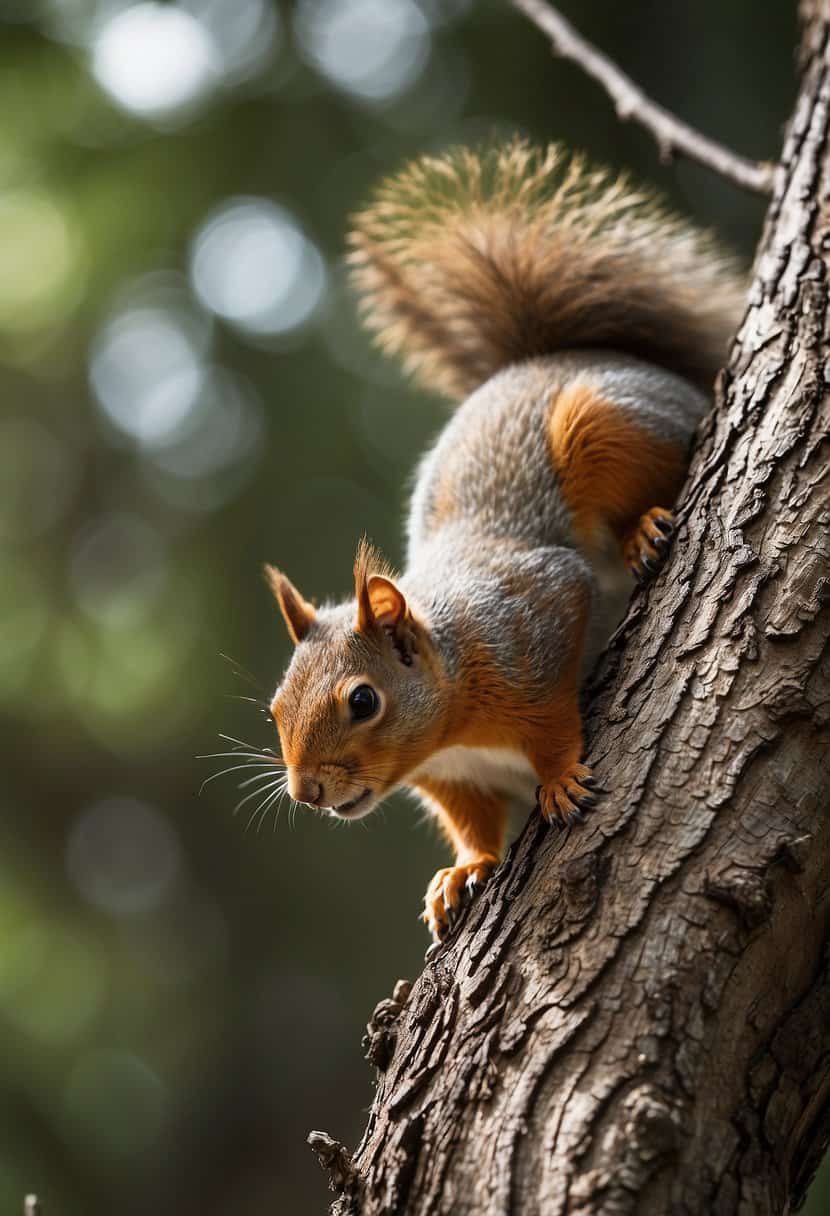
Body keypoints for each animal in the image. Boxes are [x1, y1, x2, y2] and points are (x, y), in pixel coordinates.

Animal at [262, 139, 743, 938]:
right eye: (274, 708)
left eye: (363, 701)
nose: (306, 792)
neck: (453, 716)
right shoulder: (453, 778)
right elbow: (473, 824)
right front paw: (464, 872)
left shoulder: (534, 620)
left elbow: (551, 718)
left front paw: (559, 777)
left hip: (603, 425)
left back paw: (643, 529)